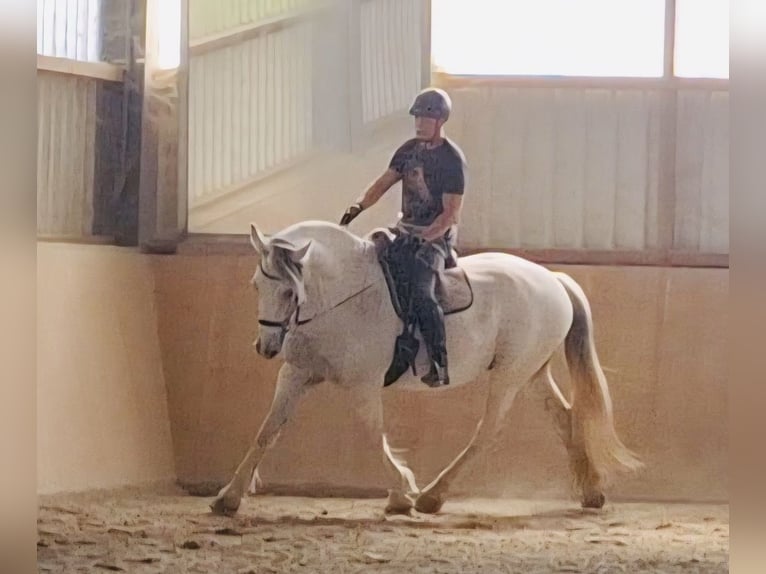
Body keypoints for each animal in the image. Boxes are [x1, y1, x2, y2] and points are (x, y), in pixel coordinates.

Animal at [210, 220, 642, 516]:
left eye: (288, 291)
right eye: (255, 285)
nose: (266, 347)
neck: (341, 295)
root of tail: (552, 279)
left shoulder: (363, 384)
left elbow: (373, 435)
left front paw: (402, 493)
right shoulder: (296, 374)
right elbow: (268, 430)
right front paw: (228, 497)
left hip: (510, 374)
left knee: (488, 431)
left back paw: (433, 496)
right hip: (533, 373)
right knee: (565, 419)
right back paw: (591, 492)